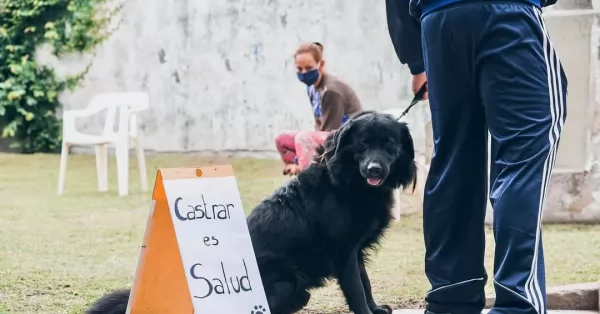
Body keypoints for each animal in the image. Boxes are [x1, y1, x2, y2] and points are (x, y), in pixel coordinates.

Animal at [86, 110, 418, 314]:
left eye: (389, 144)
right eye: (363, 145)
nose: (374, 169)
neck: (349, 182)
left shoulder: (355, 251)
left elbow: (365, 281)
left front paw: (375, 308)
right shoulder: (343, 252)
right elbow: (356, 288)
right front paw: (366, 311)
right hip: (289, 281)